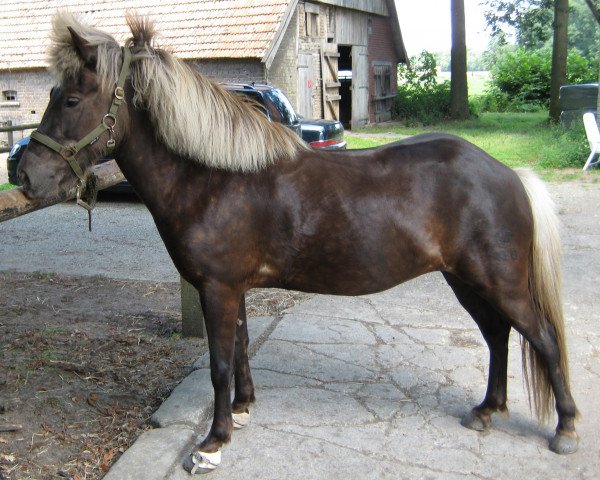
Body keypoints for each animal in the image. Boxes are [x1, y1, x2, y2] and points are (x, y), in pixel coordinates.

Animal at [18, 13, 580, 474]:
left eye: (71, 99)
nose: (24, 175)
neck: (213, 179)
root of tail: (507, 174)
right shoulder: (231, 289)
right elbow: (241, 348)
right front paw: (242, 410)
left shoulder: (217, 289)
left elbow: (219, 364)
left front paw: (213, 442)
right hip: (466, 280)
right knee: (499, 336)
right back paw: (487, 410)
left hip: (499, 281)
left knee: (544, 338)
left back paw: (566, 429)